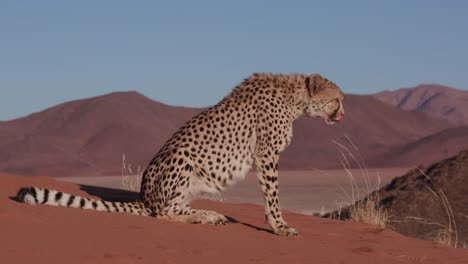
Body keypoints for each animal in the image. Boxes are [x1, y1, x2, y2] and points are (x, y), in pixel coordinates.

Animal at [17, 73, 344, 236]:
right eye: (337, 99)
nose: (343, 113)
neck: (295, 97)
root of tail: (144, 197)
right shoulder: (266, 156)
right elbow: (273, 197)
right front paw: (280, 227)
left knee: (176, 207)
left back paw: (211, 214)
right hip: (182, 157)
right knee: (163, 213)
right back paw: (206, 216)